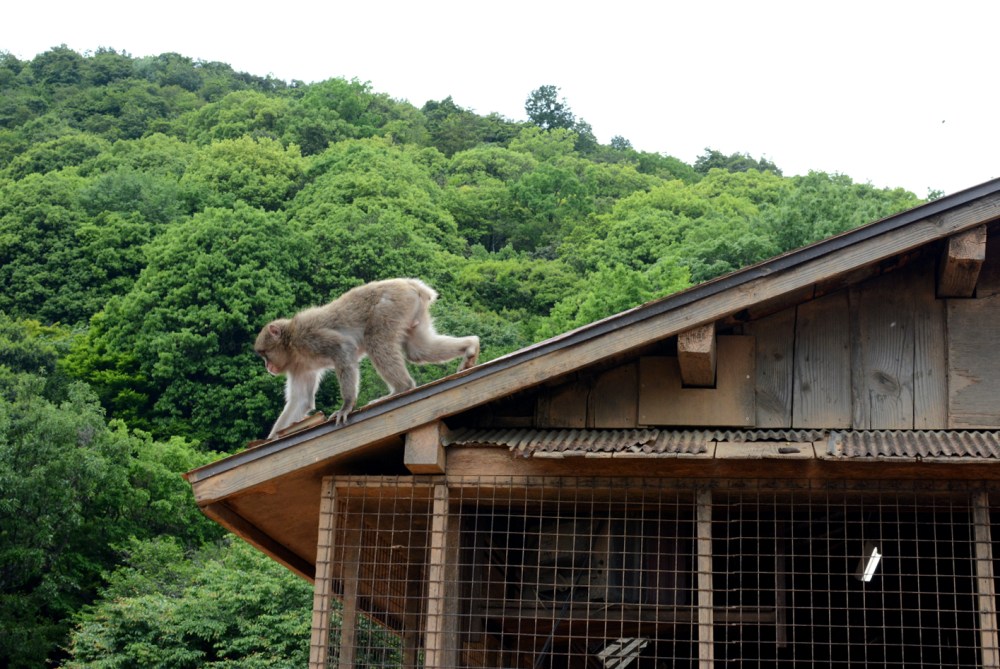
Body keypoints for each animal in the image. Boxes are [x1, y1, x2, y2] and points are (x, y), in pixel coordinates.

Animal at [254, 278, 480, 437]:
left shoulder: (308, 337)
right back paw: (471, 346)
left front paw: (346, 405)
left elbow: (342, 348)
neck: (292, 345)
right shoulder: (299, 366)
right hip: (411, 310)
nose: (267, 367)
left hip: (390, 306)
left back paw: (402, 388)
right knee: (418, 350)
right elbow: (301, 400)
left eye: (264, 354)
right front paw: (272, 439)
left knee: (376, 341)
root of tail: (411, 284)